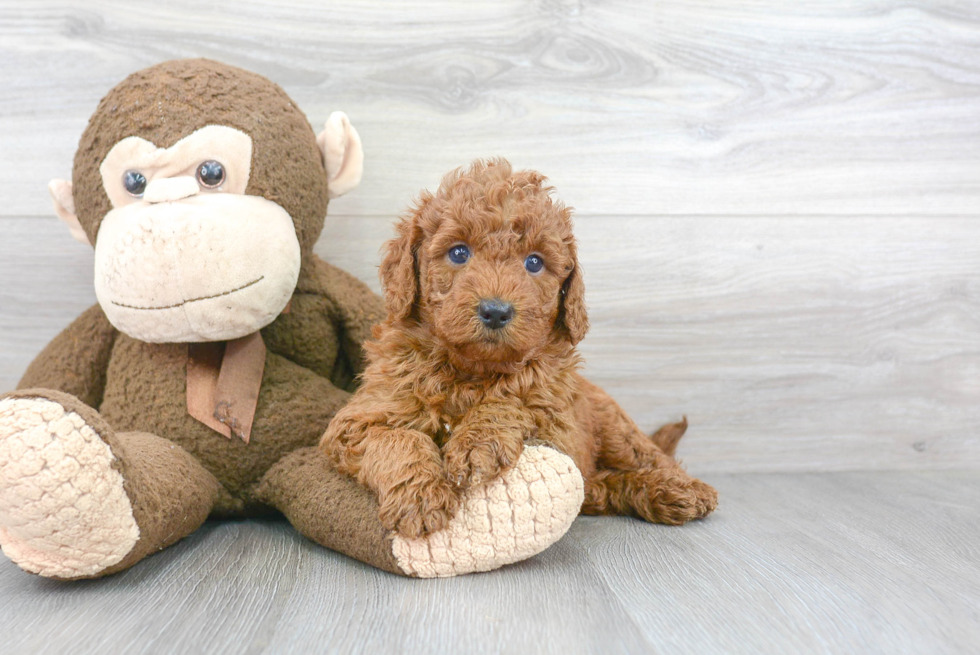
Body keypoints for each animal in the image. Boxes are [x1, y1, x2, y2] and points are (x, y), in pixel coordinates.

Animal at [318, 158, 716, 540]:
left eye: (534, 262)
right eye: (458, 253)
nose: (496, 311)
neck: (471, 371)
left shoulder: (558, 426)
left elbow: (514, 401)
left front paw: (476, 444)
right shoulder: (359, 420)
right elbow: (399, 440)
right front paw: (420, 498)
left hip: (615, 427)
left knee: (649, 456)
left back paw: (682, 489)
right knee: (602, 487)